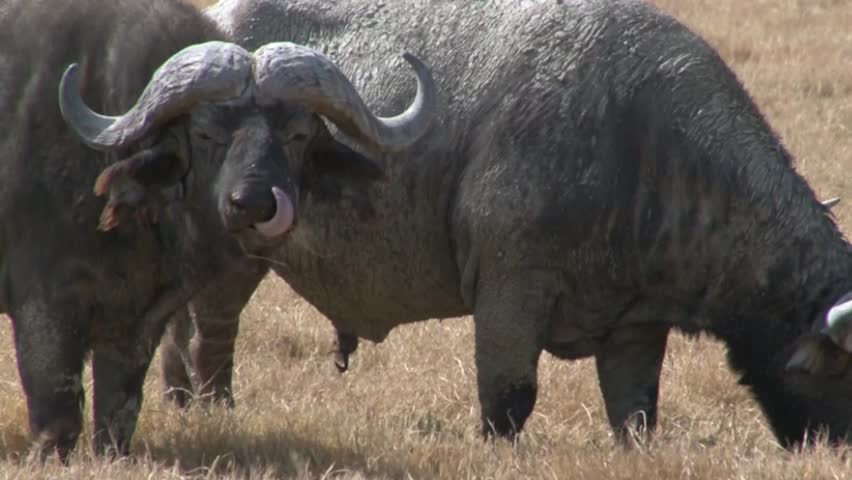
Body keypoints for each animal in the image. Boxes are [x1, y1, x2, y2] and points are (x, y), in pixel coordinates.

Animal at [0, 0, 434, 460]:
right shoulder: (45, 305)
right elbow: (57, 404)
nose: (255, 203)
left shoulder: (140, 319)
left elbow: (119, 409)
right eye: (206, 133)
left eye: (298, 134)